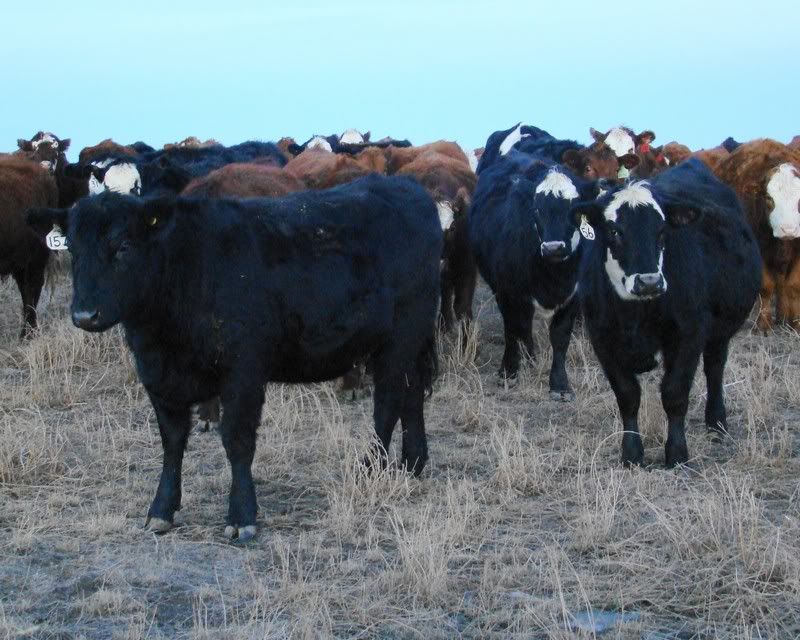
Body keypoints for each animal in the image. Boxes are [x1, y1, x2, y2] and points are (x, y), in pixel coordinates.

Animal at [27, 175, 442, 541]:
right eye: (73, 250)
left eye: (123, 246)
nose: (85, 314)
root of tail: (410, 189)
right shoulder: (157, 376)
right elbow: (172, 441)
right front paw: (161, 510)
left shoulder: (243, 372)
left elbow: (237, 440)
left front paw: (241, 516)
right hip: (410, 340)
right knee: (411, 394)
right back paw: (413, 462)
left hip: (400, 336)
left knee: (387, 402)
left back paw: (371, 467)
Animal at [470, 150, 599, 397]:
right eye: (537, 209)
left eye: (575, 211)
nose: (553, 247)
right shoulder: (508, 292)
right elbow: (513, 330)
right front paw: (508, 372)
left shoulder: (573, 296)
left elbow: (560, 337)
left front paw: (559, 384)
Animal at [571, 159, 760, 467]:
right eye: (614, 231)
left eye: (661, 231)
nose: (648, 281)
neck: (635, 315)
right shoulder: (601, 338)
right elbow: (627, 395)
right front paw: (631, 453)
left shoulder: (689, 334)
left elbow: (675, 393)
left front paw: (677, 453)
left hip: (720, 332)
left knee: (715, 368)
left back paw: (716, 422)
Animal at [712, 139, 800, 332]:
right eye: (769, 198)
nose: (788, 230)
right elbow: (766, 287)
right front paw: (763, 323)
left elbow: (793, 285)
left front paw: (796, 324)